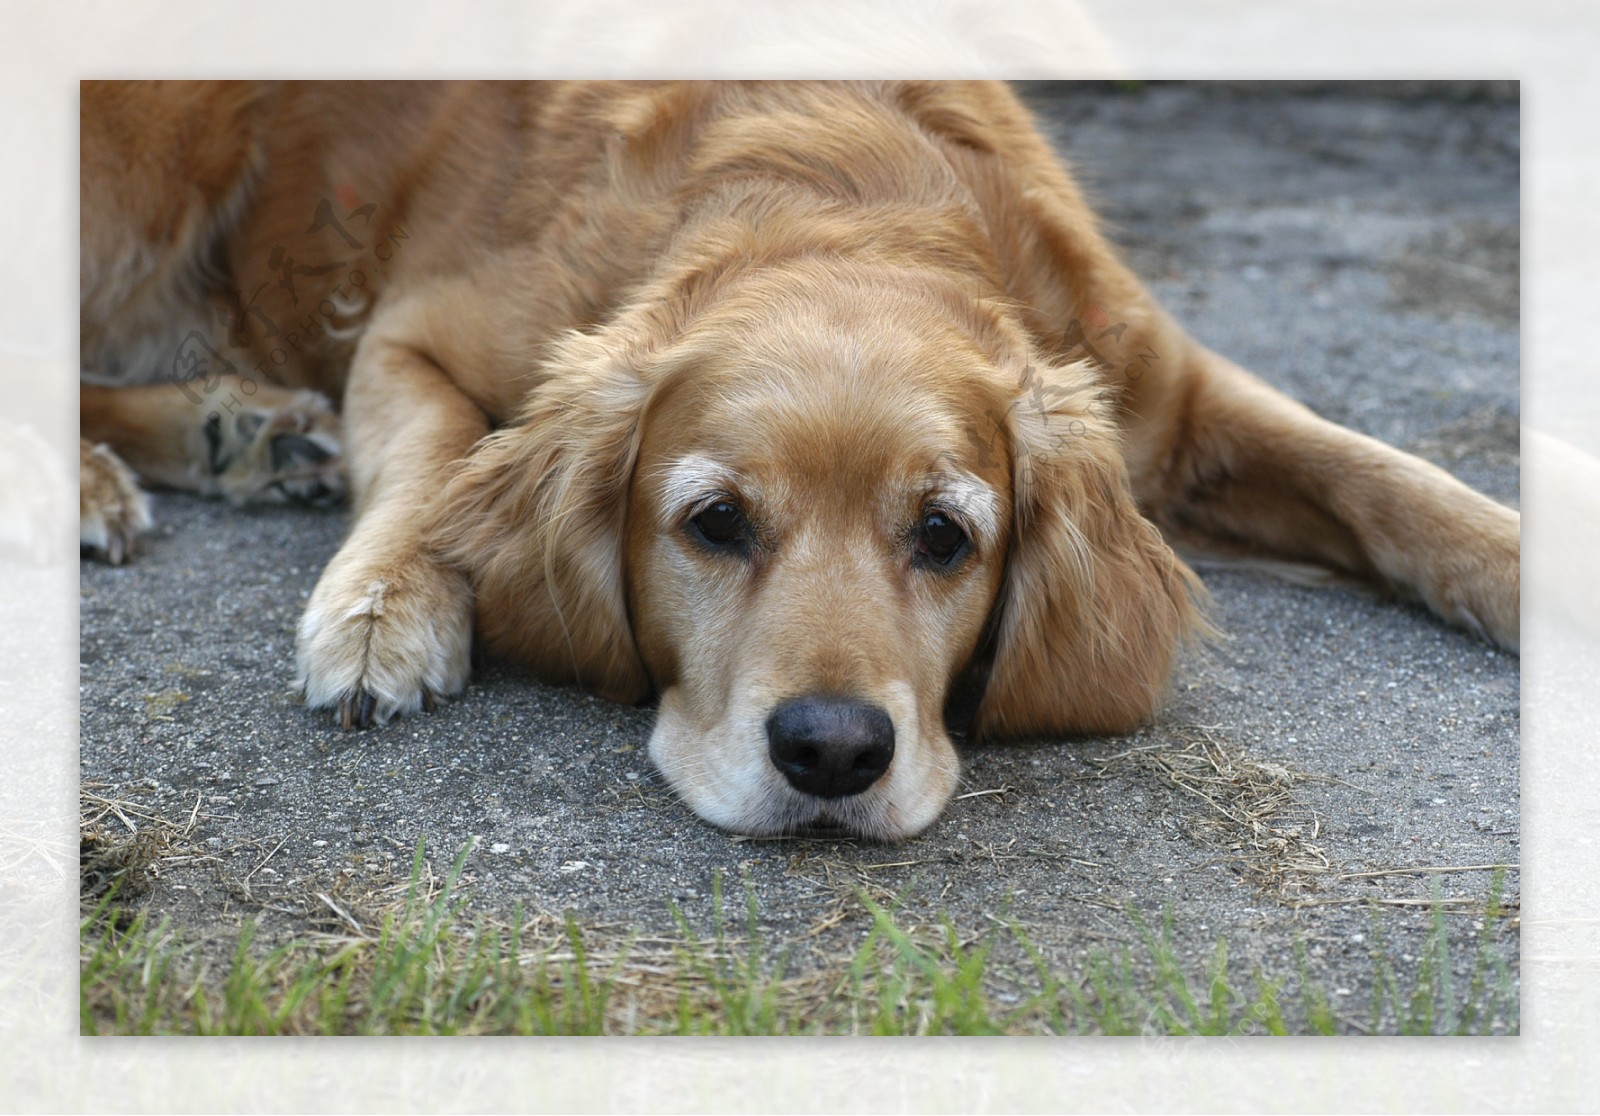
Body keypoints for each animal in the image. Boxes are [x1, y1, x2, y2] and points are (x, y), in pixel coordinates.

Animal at [78, 82, 1523, 837]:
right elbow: (434, 459)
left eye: (945, 536)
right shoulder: (411, 328)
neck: (846, 196)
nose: (831, 753)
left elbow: (1390, 481)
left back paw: (239, 431)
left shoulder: (1164, 389)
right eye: (714, 523)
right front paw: (386, 608)